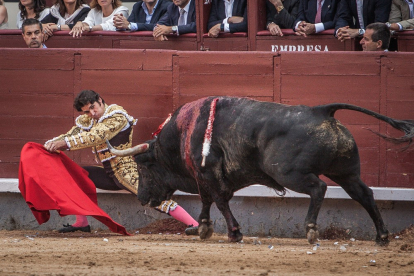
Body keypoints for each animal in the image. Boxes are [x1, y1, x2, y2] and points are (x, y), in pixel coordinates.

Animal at [107, 96, 414, 244]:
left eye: (143, 166)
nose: (141, 198)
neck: (185, 132)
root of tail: (321, 111)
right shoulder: (203, 176)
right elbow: (206, 201)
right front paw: (203, 228)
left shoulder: (208, 174)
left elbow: (219, 200)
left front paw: (233, 232)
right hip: (347, 173)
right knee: (365, 195)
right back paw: (382, 236)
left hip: (290, 174)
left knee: (319, 188)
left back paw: (311, 229)